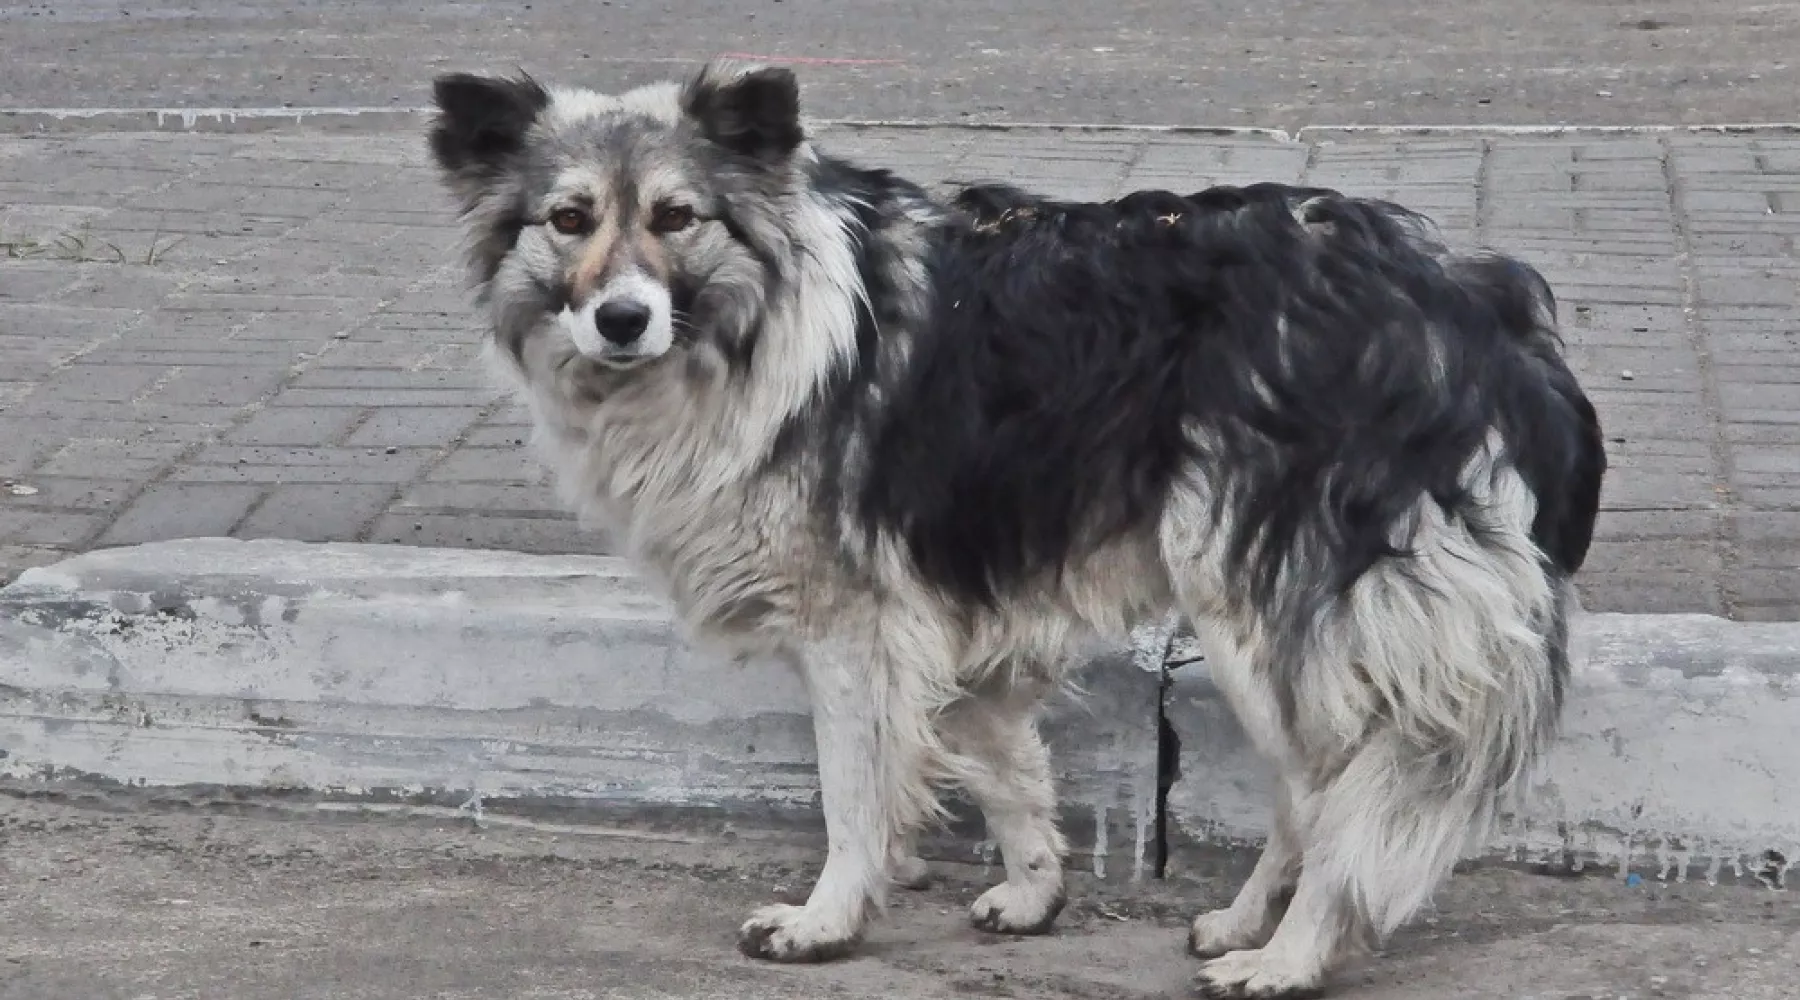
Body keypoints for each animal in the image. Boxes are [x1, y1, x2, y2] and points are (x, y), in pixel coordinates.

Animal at [428, 62, 1612, 1000]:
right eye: (568, 220)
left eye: (678, 217)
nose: (621, 319)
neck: (763, 322)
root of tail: (1469, 299)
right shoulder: (946, 611)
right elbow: (999, 759)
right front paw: (1035, 889)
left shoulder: (855, 626)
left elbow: (855, 795)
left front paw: (827, 919)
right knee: (1310, 795)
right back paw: (1243, 923)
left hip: (1262, 607)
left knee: (1344, 796)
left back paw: (1289, 956)